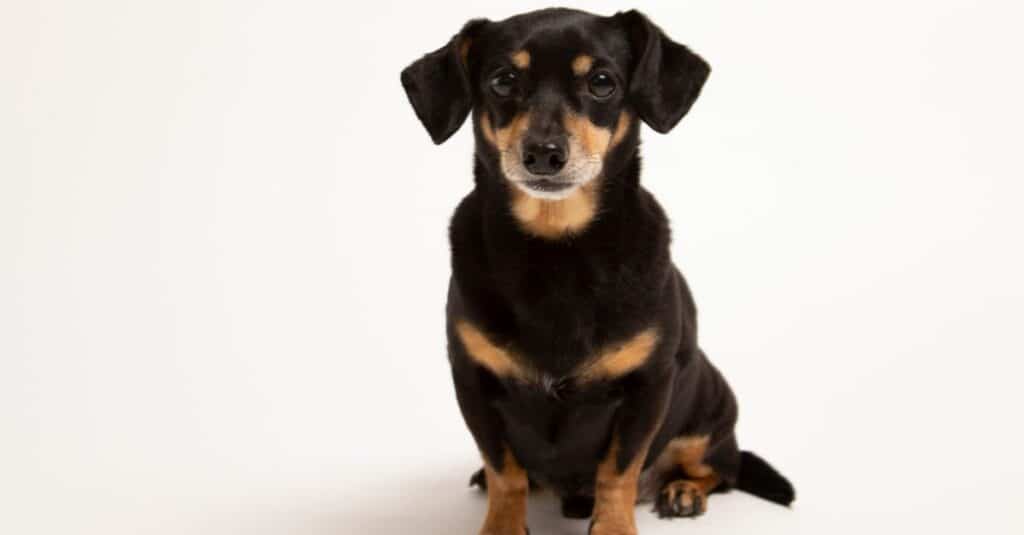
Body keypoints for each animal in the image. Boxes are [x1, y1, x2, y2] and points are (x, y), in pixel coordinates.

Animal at [399, 8, 790, 532]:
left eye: (602, 82)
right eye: (503, 81)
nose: (544, 153)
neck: (557, 249)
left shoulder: (647, 387)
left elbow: (618, 474)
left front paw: (614, 525)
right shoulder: (472, 379)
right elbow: (505, 472)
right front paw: (502, 522)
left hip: (710, 410)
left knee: (717, 468)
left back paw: (683, 490)